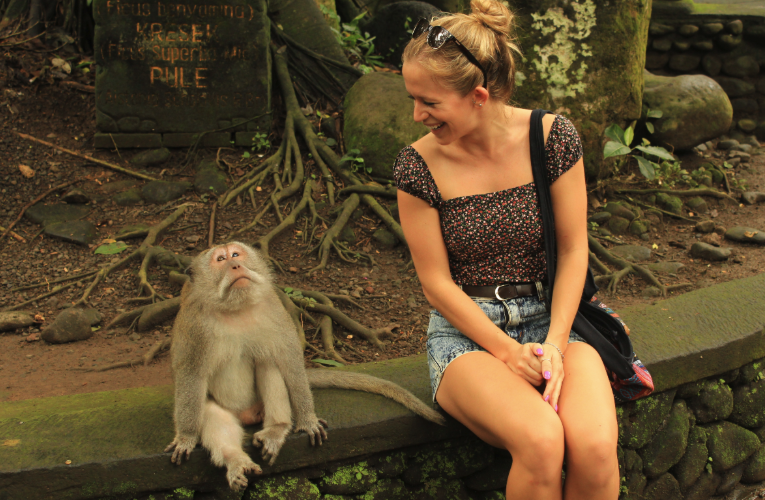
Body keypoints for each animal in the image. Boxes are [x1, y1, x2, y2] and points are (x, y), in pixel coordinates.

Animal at [164, 241, 445, 491]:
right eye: (220, 259)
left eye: (235, 254)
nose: (235, 265)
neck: (236, 309)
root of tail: (248, 415)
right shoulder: (194, 325)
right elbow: (191, 375)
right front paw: (186, 437)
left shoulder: (273, 308)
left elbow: (289, 359)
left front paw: (307, 419)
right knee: (211, 412)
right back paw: (236, 460)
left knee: (269, 363)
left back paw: (276, 429)